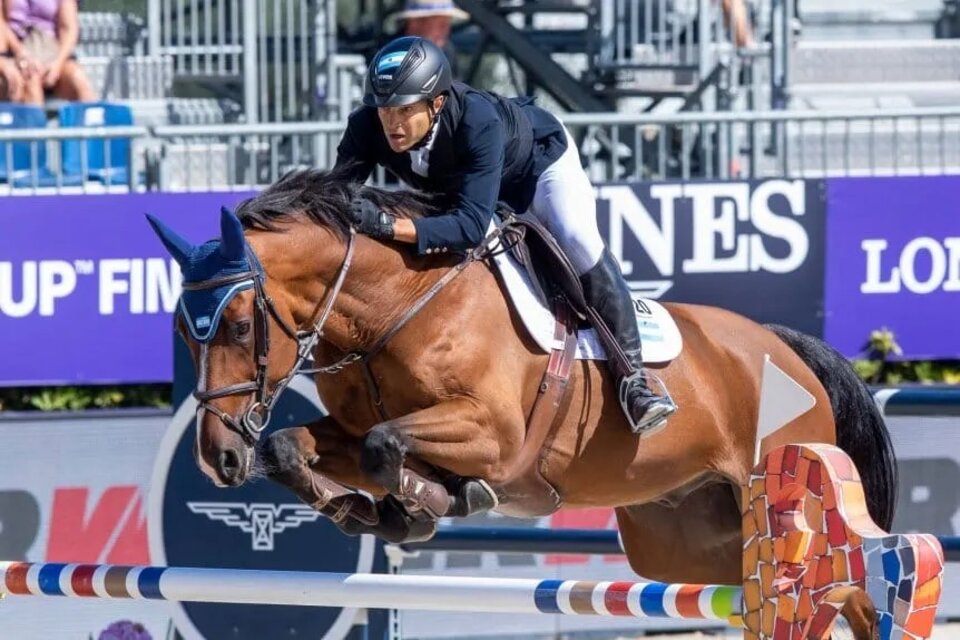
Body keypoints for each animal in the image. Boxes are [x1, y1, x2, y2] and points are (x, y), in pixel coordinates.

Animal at [146, 168, 896, 636]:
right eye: (181, 331)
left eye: (238, 326)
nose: (218, 458)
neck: (394, 306)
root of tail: (786, 347)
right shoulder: (349, 426)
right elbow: (296, 446)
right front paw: (366, 511)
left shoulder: (494, 436)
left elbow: (388, 446)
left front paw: (431, 503)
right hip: (689, 541)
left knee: (855, 593)